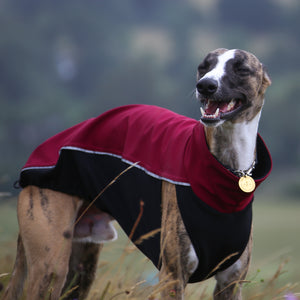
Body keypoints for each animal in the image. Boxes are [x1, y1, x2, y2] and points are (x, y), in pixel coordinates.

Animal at [1, 48, 272, 298]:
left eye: (241, 68)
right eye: (204, 66)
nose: (205, 85)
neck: (226, 170)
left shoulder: (231, 282)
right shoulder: (173, 277)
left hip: (81, 267)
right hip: (50, 266)